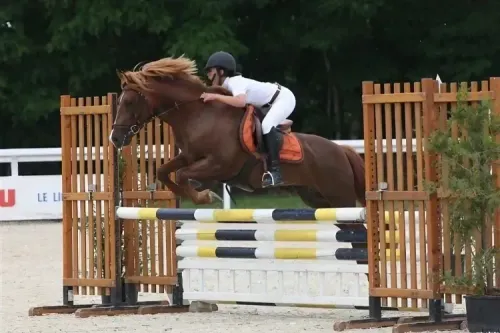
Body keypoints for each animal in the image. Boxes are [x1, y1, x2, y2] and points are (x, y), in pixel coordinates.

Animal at [110, 55, 364, 213]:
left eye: (130, 102)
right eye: (119, 101)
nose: (114, 138)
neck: (197, 115)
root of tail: (341, 151)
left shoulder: (219, 164)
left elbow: (182, 175)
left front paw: (204, 196)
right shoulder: (188, 156)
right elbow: (164, 172)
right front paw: (199, 195)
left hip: (340, 197)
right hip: (316, 197)